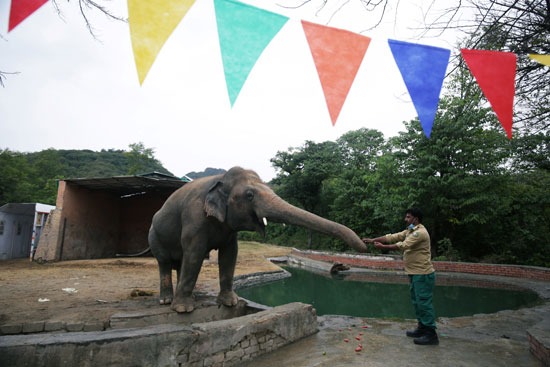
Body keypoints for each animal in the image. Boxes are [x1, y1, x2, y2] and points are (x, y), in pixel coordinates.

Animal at [149, 167, 368, 314]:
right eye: (249, 195)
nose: (365, 246)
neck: (220, 180)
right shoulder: (194, 217)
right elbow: (194, 253)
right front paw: (183, 310)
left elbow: (230, 254)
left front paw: (230, 303)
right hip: (154, 236)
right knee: (165, 262)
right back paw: (167, 301)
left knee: (180, 264)